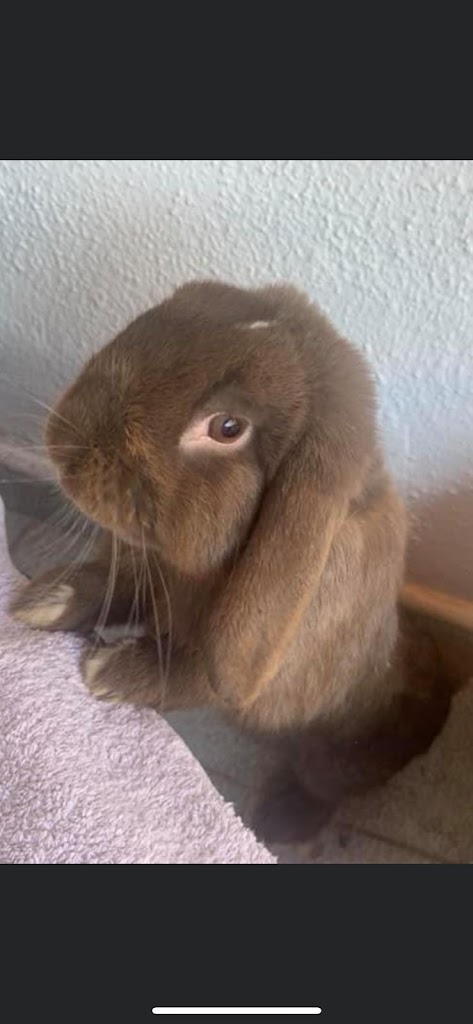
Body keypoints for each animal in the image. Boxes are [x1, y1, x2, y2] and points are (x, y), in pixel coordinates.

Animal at [10, 280, 454, 843]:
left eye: (227, 427)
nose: (65, 445)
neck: (190, 577)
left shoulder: (244, 668)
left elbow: (199, 677)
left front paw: (108, 670)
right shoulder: (153, 577)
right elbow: (120, 587)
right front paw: (44, 599)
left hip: (336, 752)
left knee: (323, 783)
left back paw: (282, 818)